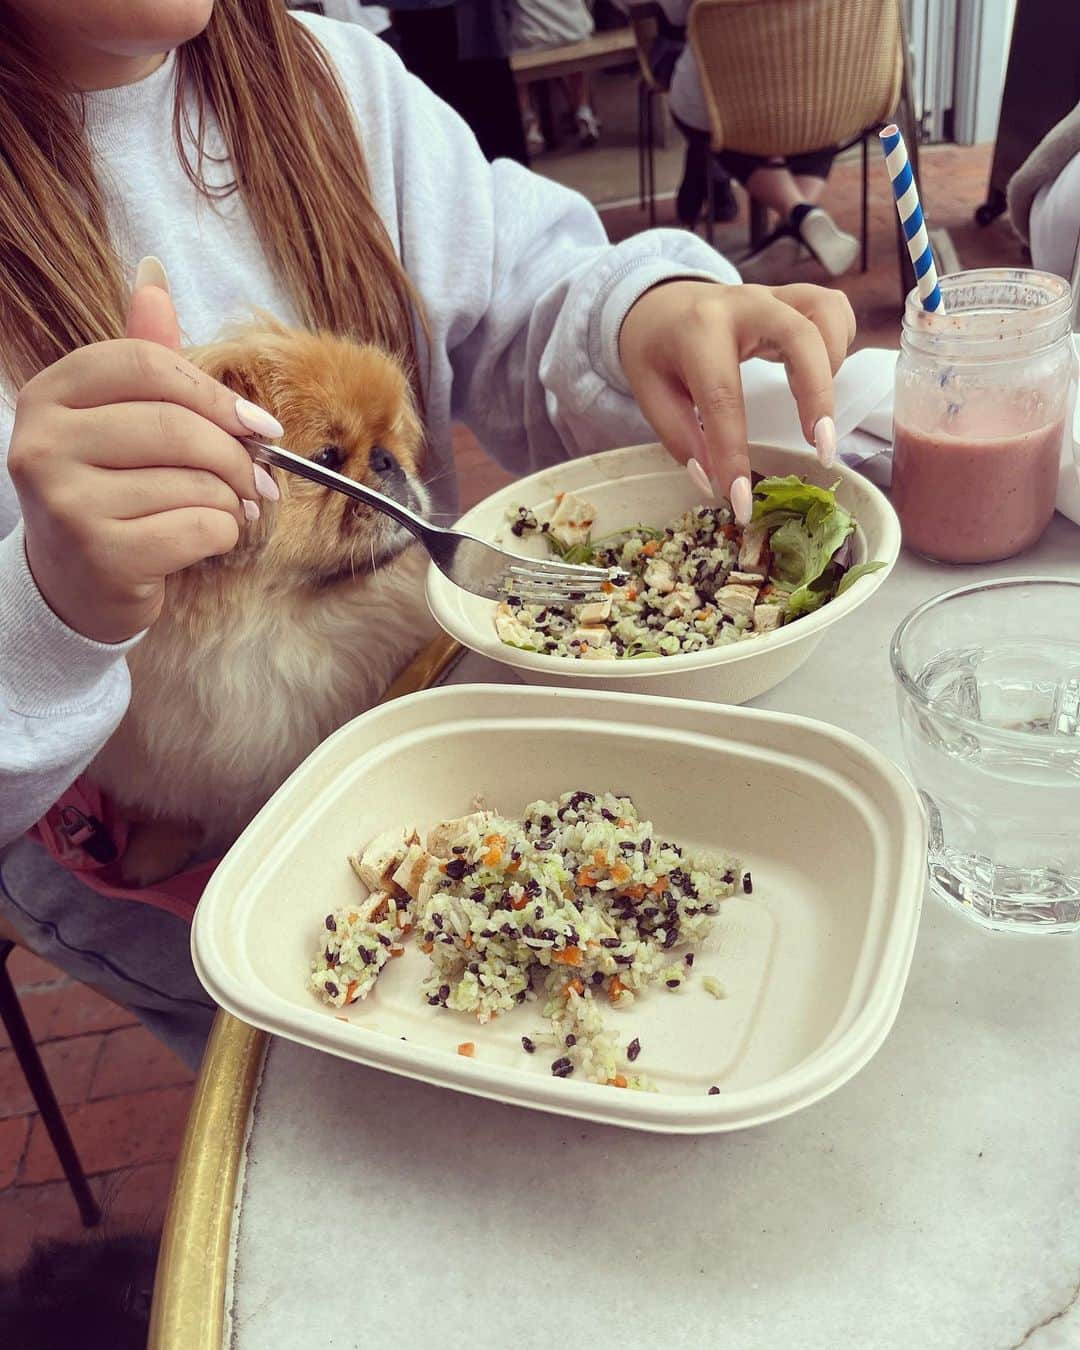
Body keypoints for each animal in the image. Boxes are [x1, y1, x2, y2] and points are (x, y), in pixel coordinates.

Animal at [86, 322, 437, 891]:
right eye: (326, 459)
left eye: (392, 439)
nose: (389, 460)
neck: (267, 636)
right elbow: (171, 812)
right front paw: (152, 855)